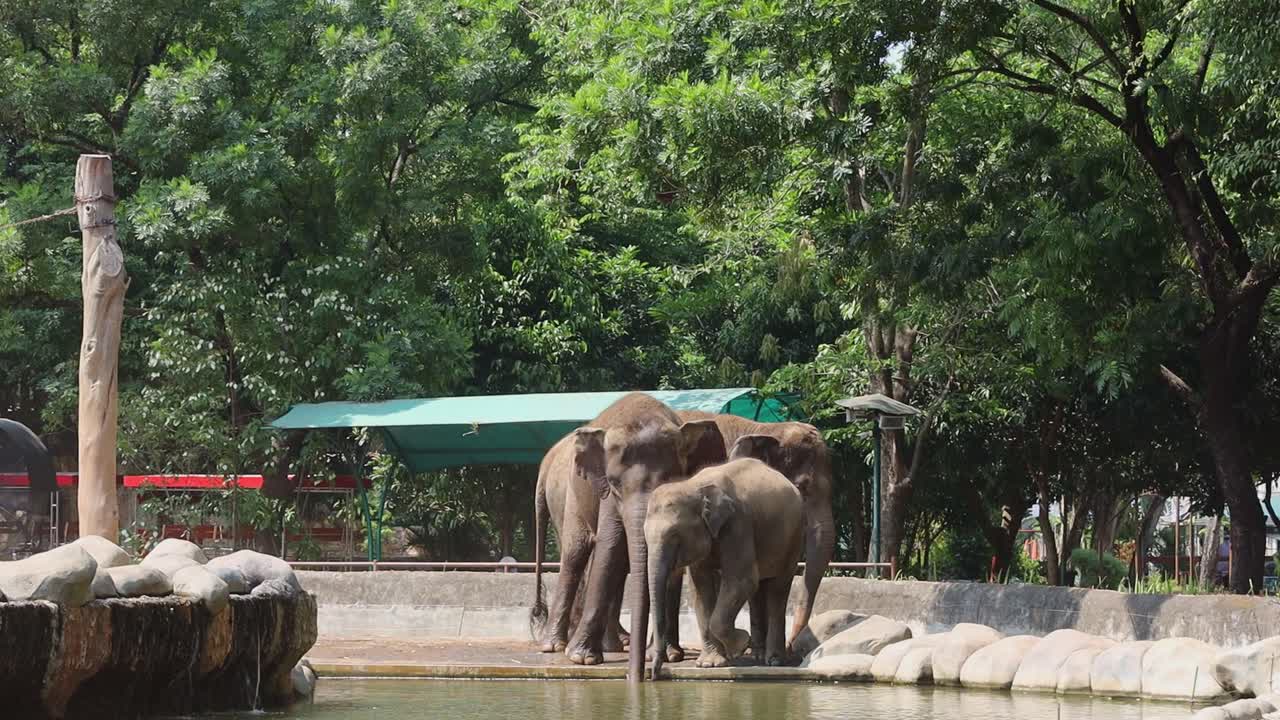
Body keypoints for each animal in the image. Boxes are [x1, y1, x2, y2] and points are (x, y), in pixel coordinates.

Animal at [530, 392, 724, 678]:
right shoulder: (607, 494)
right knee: (576, 554)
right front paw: (582, 659)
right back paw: (554, 646)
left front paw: (668, 656)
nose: (644, 674)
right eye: (614, 483)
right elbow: (610, 546)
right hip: (571, 498)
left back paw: (613, 645)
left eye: (672, 479)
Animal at [644, 455, 805, 676]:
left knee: (777, 588)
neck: (693, 485)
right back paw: (758, 655)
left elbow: (741, 581)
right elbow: (701, 590)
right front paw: (709, 664)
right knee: (759, 589)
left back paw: (774, 660)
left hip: (793, 538)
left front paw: (740, 645)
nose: (654, 673)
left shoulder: (738, 523)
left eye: (675, 535)